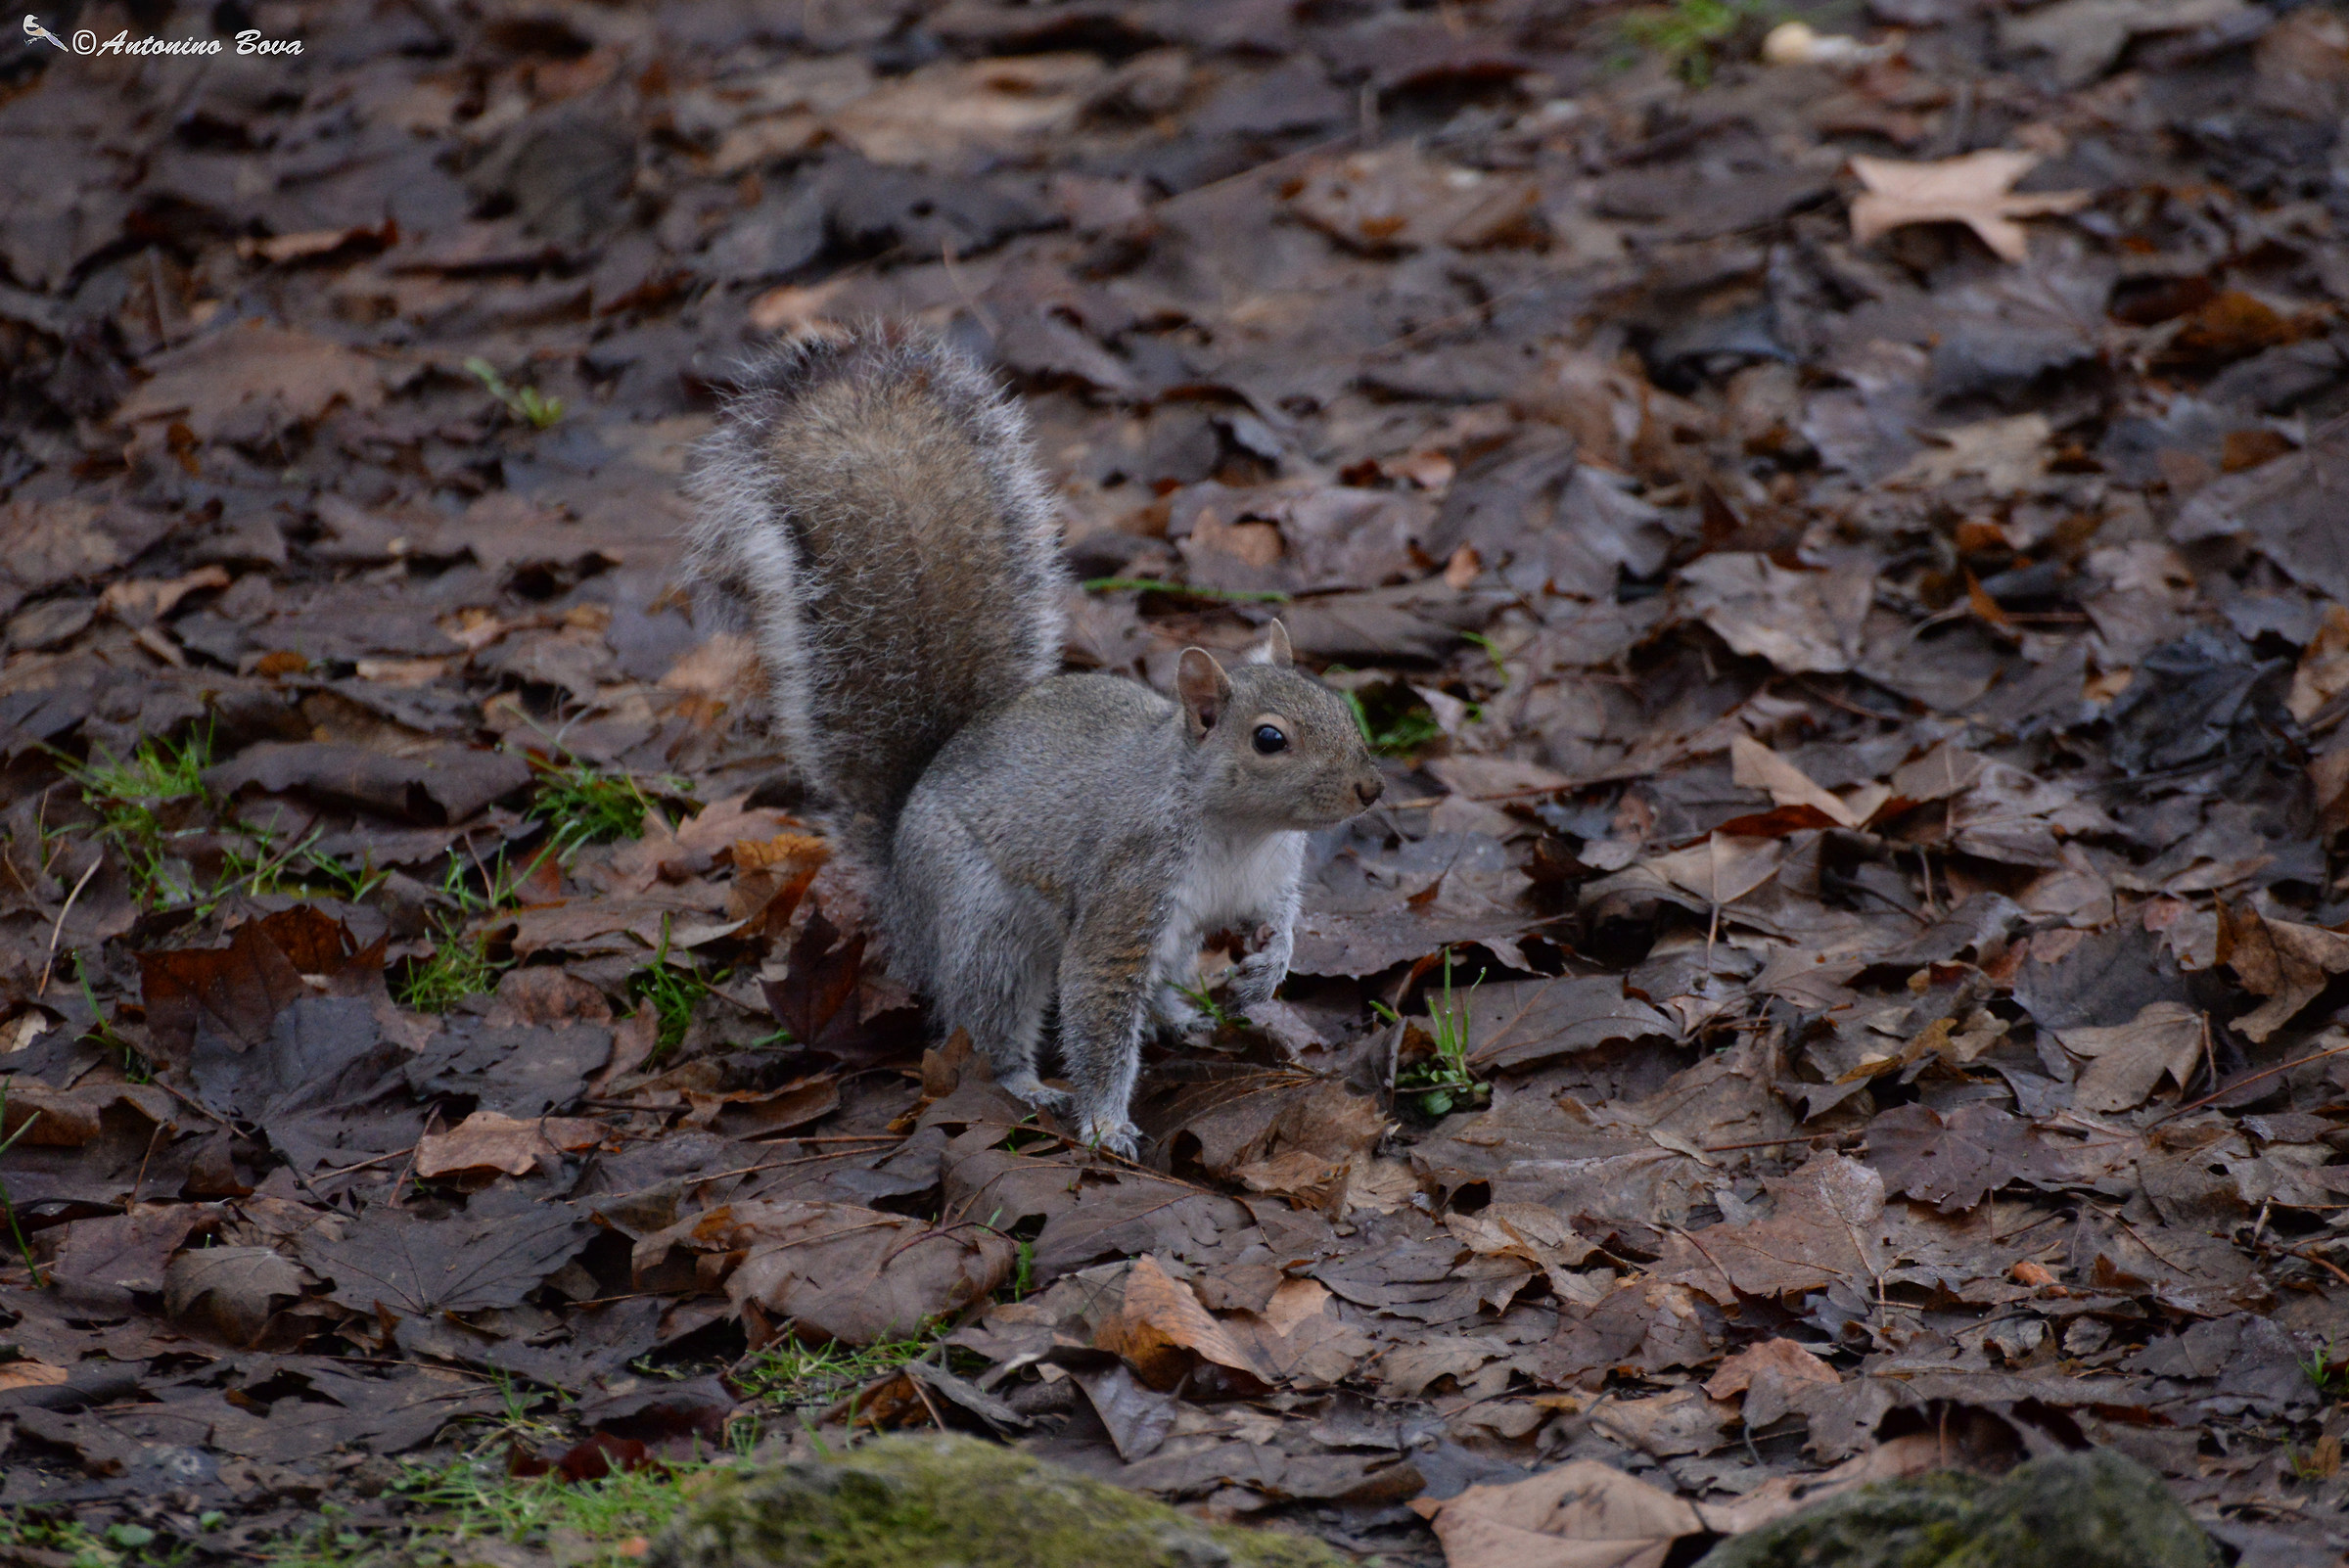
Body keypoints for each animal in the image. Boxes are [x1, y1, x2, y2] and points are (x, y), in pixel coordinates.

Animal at [684, 328, 1386, 1156]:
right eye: (1270, 739)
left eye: (1337, 702)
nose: (1370, 788)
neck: (1239, 831)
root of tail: (899, 879)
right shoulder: (1127, 888)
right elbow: (1096, 1001)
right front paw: (1106, 1120)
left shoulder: (1267, 877)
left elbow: (1279, 922)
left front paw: (1268, 970)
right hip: (986, 924)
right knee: (986, 1022)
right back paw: (1027, 1084)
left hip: (1158, 939)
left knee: (1154, 986)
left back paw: (1180, 1016)